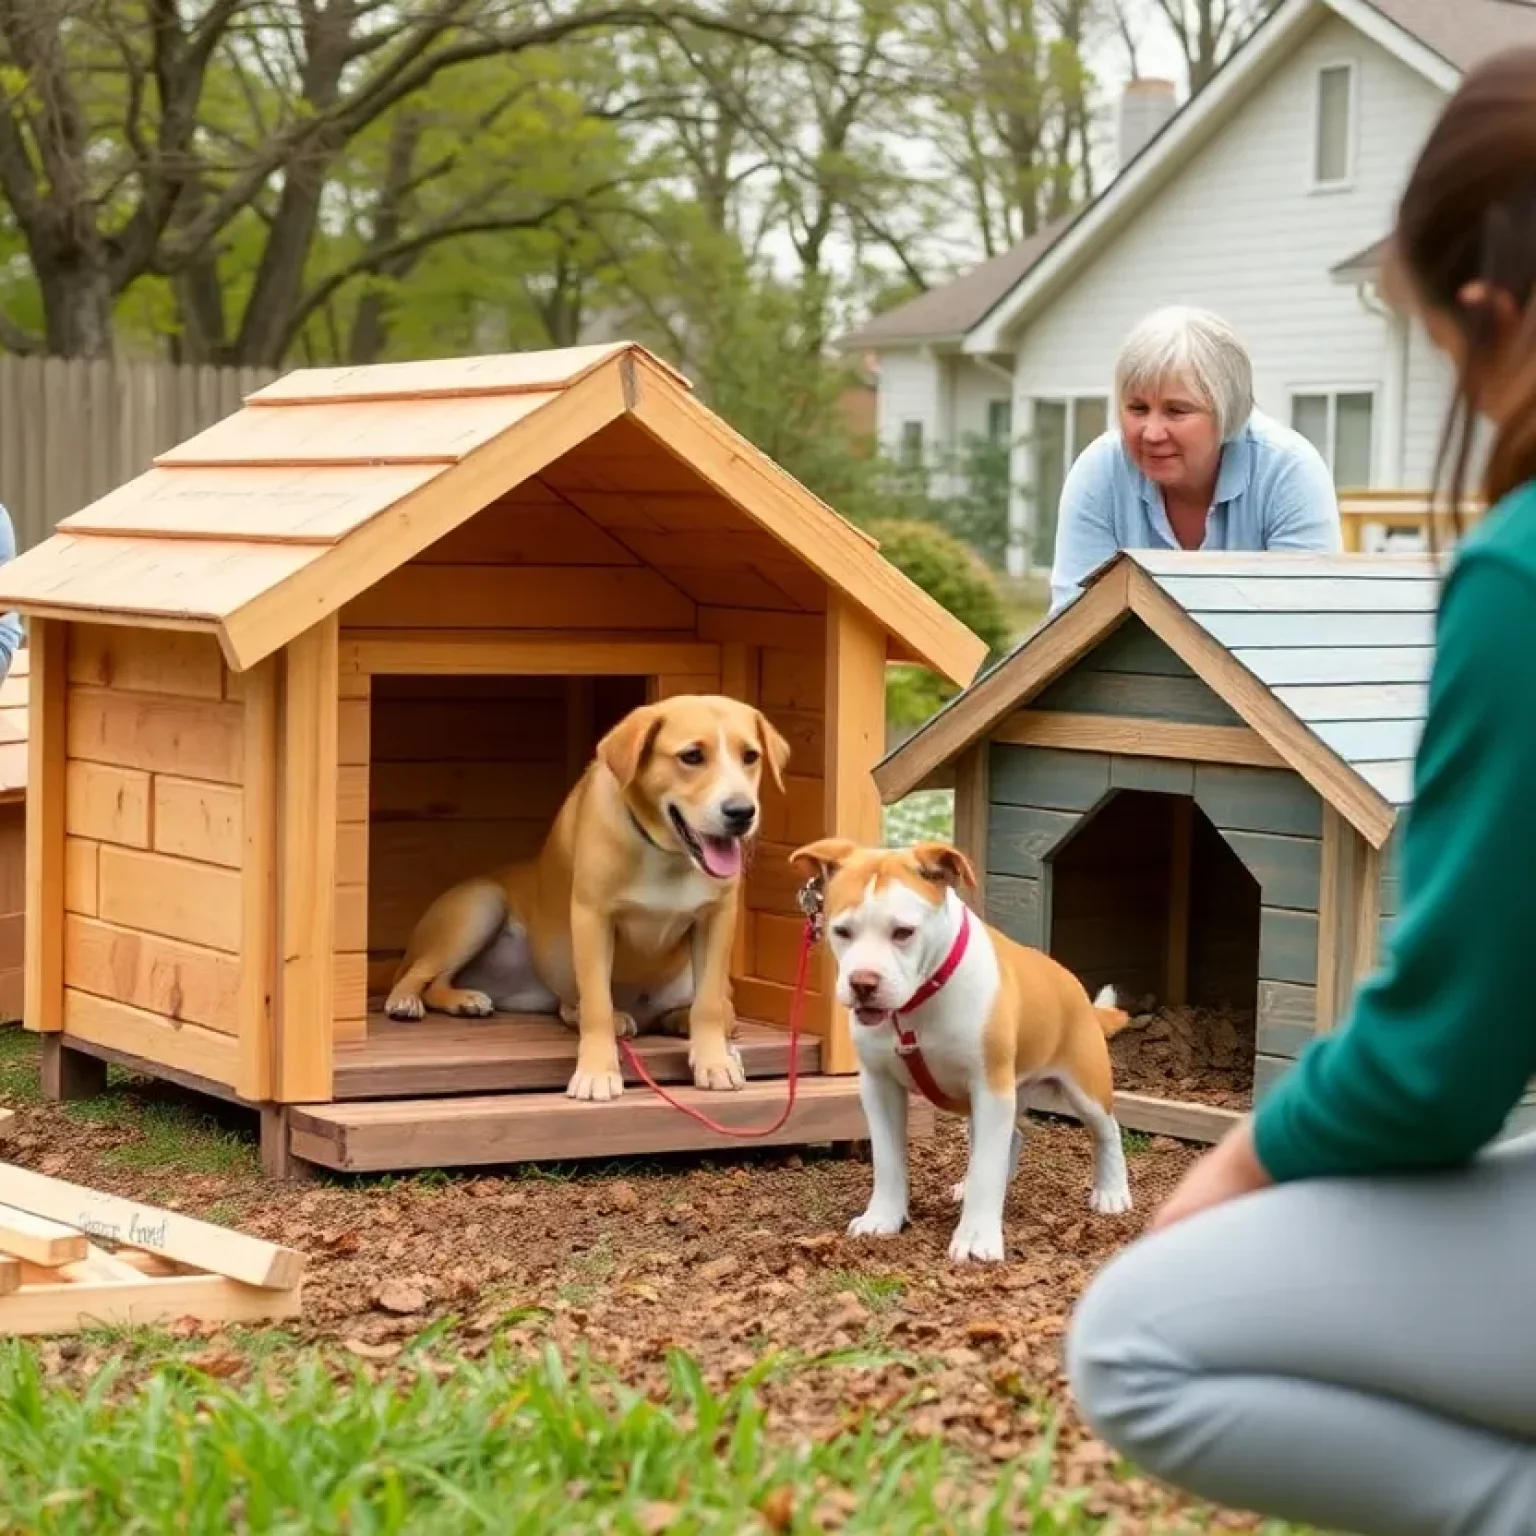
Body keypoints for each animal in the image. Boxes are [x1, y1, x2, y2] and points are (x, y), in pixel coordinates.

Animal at [384, 697, 792, 1105]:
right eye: (691, 756)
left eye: (750, 756)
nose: (741, 812)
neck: (665, 853)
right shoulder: (592, 918)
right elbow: (597, 1005)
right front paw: (597, 1072)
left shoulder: (715, 920)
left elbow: (708, 1007)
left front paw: (715, 1062)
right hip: (484, 903)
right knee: (419, 974)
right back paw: (408, 1001)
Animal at [792, 841, 1130, 1259]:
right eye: (842, 931)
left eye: (903, 932)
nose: (863, 983)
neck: (917, 1005)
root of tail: (1075, 990)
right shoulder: (880, 1086)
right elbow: (888, 1160)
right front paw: (883, 1218)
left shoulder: (991, 1087)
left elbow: (987, 1168)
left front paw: (976, 1239)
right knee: (1009, 1139)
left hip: (1084, 1086)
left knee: (1106, 1130)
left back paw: (1111, 1192)